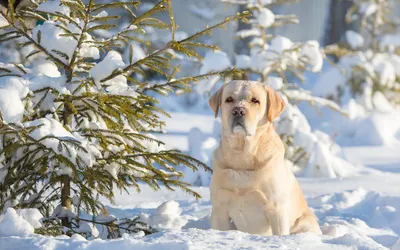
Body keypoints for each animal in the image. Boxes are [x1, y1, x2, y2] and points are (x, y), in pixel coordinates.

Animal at [208, 80, 320, 236]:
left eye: (255, 100)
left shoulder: (276, 210)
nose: (238, 111)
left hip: (304, 223)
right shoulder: (220, 208)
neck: (242, 156)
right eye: (229, 99)